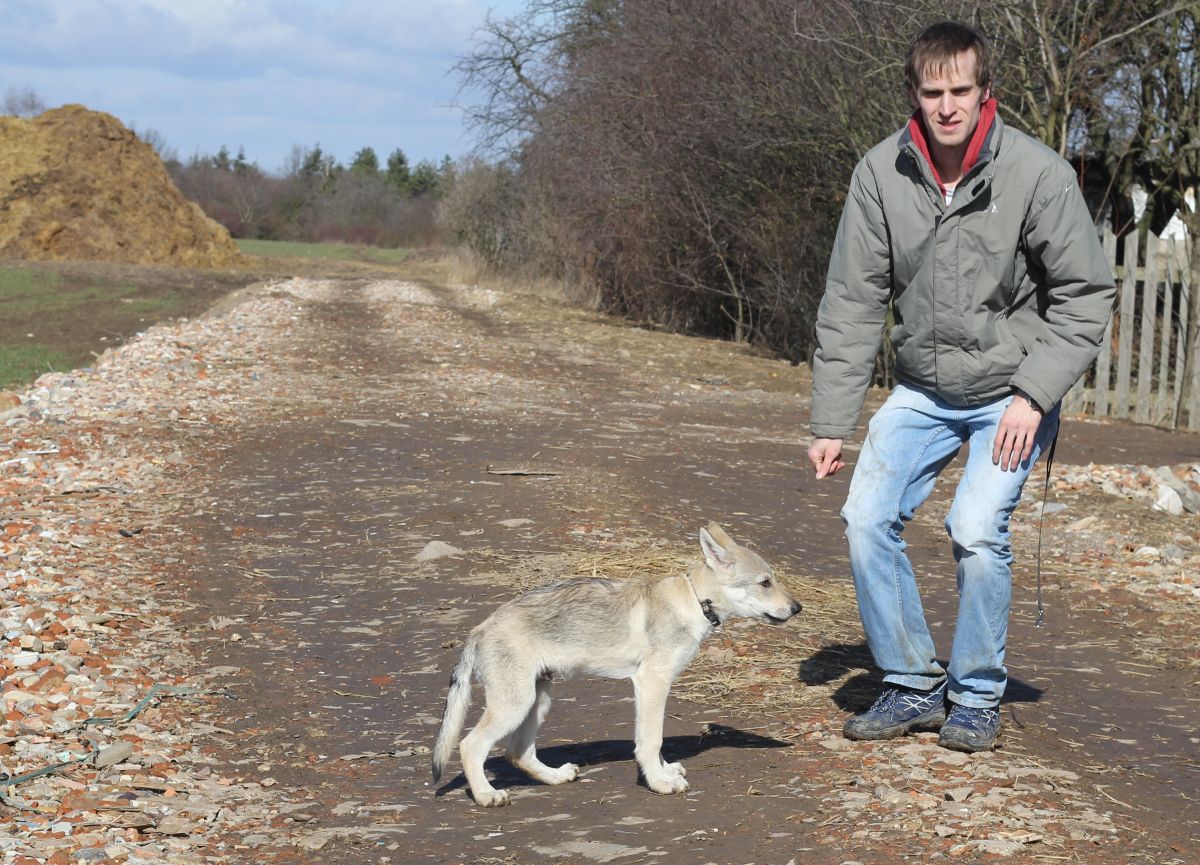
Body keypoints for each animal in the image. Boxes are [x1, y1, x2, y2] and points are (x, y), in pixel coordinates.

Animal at [434, 523, 806, 806]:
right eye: (765, 583)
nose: (798, 608)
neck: (693, 601)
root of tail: (478, 630)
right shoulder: (652, 682)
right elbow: (651, 740)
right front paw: (659, 782)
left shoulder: (650, 688)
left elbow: (650, 740)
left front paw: (663, 772)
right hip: (515, 705)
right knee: (470, 745)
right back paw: (486, 795)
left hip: (537, 702)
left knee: (518, 752)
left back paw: (555, 777)